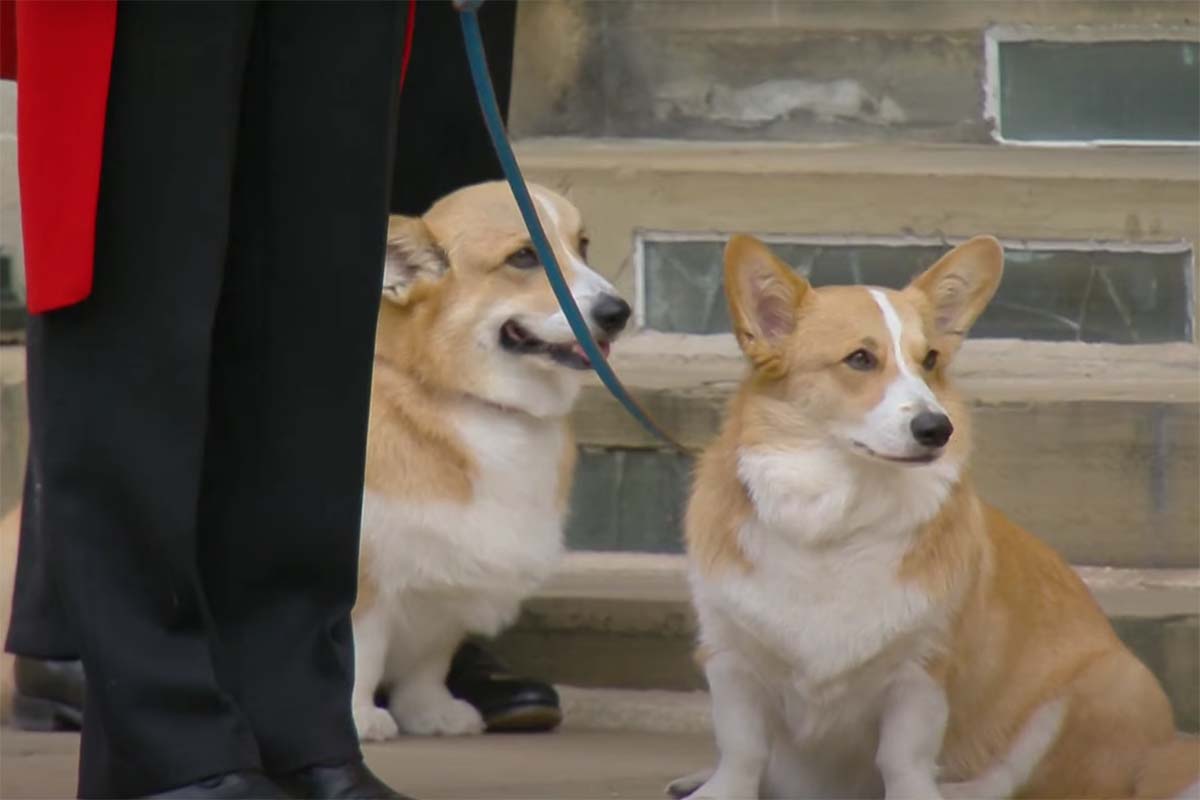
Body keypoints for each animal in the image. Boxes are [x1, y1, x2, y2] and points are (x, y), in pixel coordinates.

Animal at [350, 181, 633, 738]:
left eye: (583, 245)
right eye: (523, 256)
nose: (619, 312)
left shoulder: (451, 573)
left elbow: (428, 661)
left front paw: (431, 712)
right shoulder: (366, 576)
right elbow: (361, 652)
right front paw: (357, 718)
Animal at [672, 236, 1195, 800]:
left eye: (930, 359)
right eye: (860, 358)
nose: (937, 428)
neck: (837, 517)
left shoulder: (921, 671)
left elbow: (903, 759)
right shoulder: (730, 658)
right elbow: (742, 751)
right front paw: (719, 788)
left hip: (1098, 689)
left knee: (1007, 780)